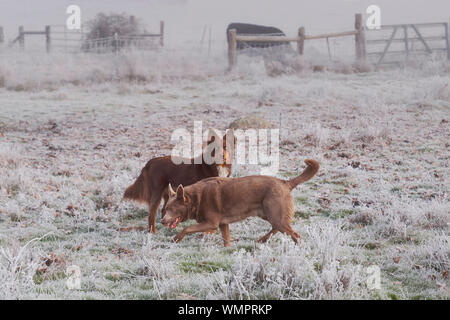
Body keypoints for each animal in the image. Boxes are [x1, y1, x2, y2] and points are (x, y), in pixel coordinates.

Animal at [162, 159, 320, 246]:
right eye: (165, 208)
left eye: (172, 209)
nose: (162, 221)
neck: (195, 198)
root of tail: (285, 183)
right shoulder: (223, 224)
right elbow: (226, 240)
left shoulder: (211, 223)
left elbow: (187, 228)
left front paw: (176, 238)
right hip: (270, 215)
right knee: (277, 228)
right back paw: (262, 240)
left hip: (276, 215)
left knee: (294, 235)